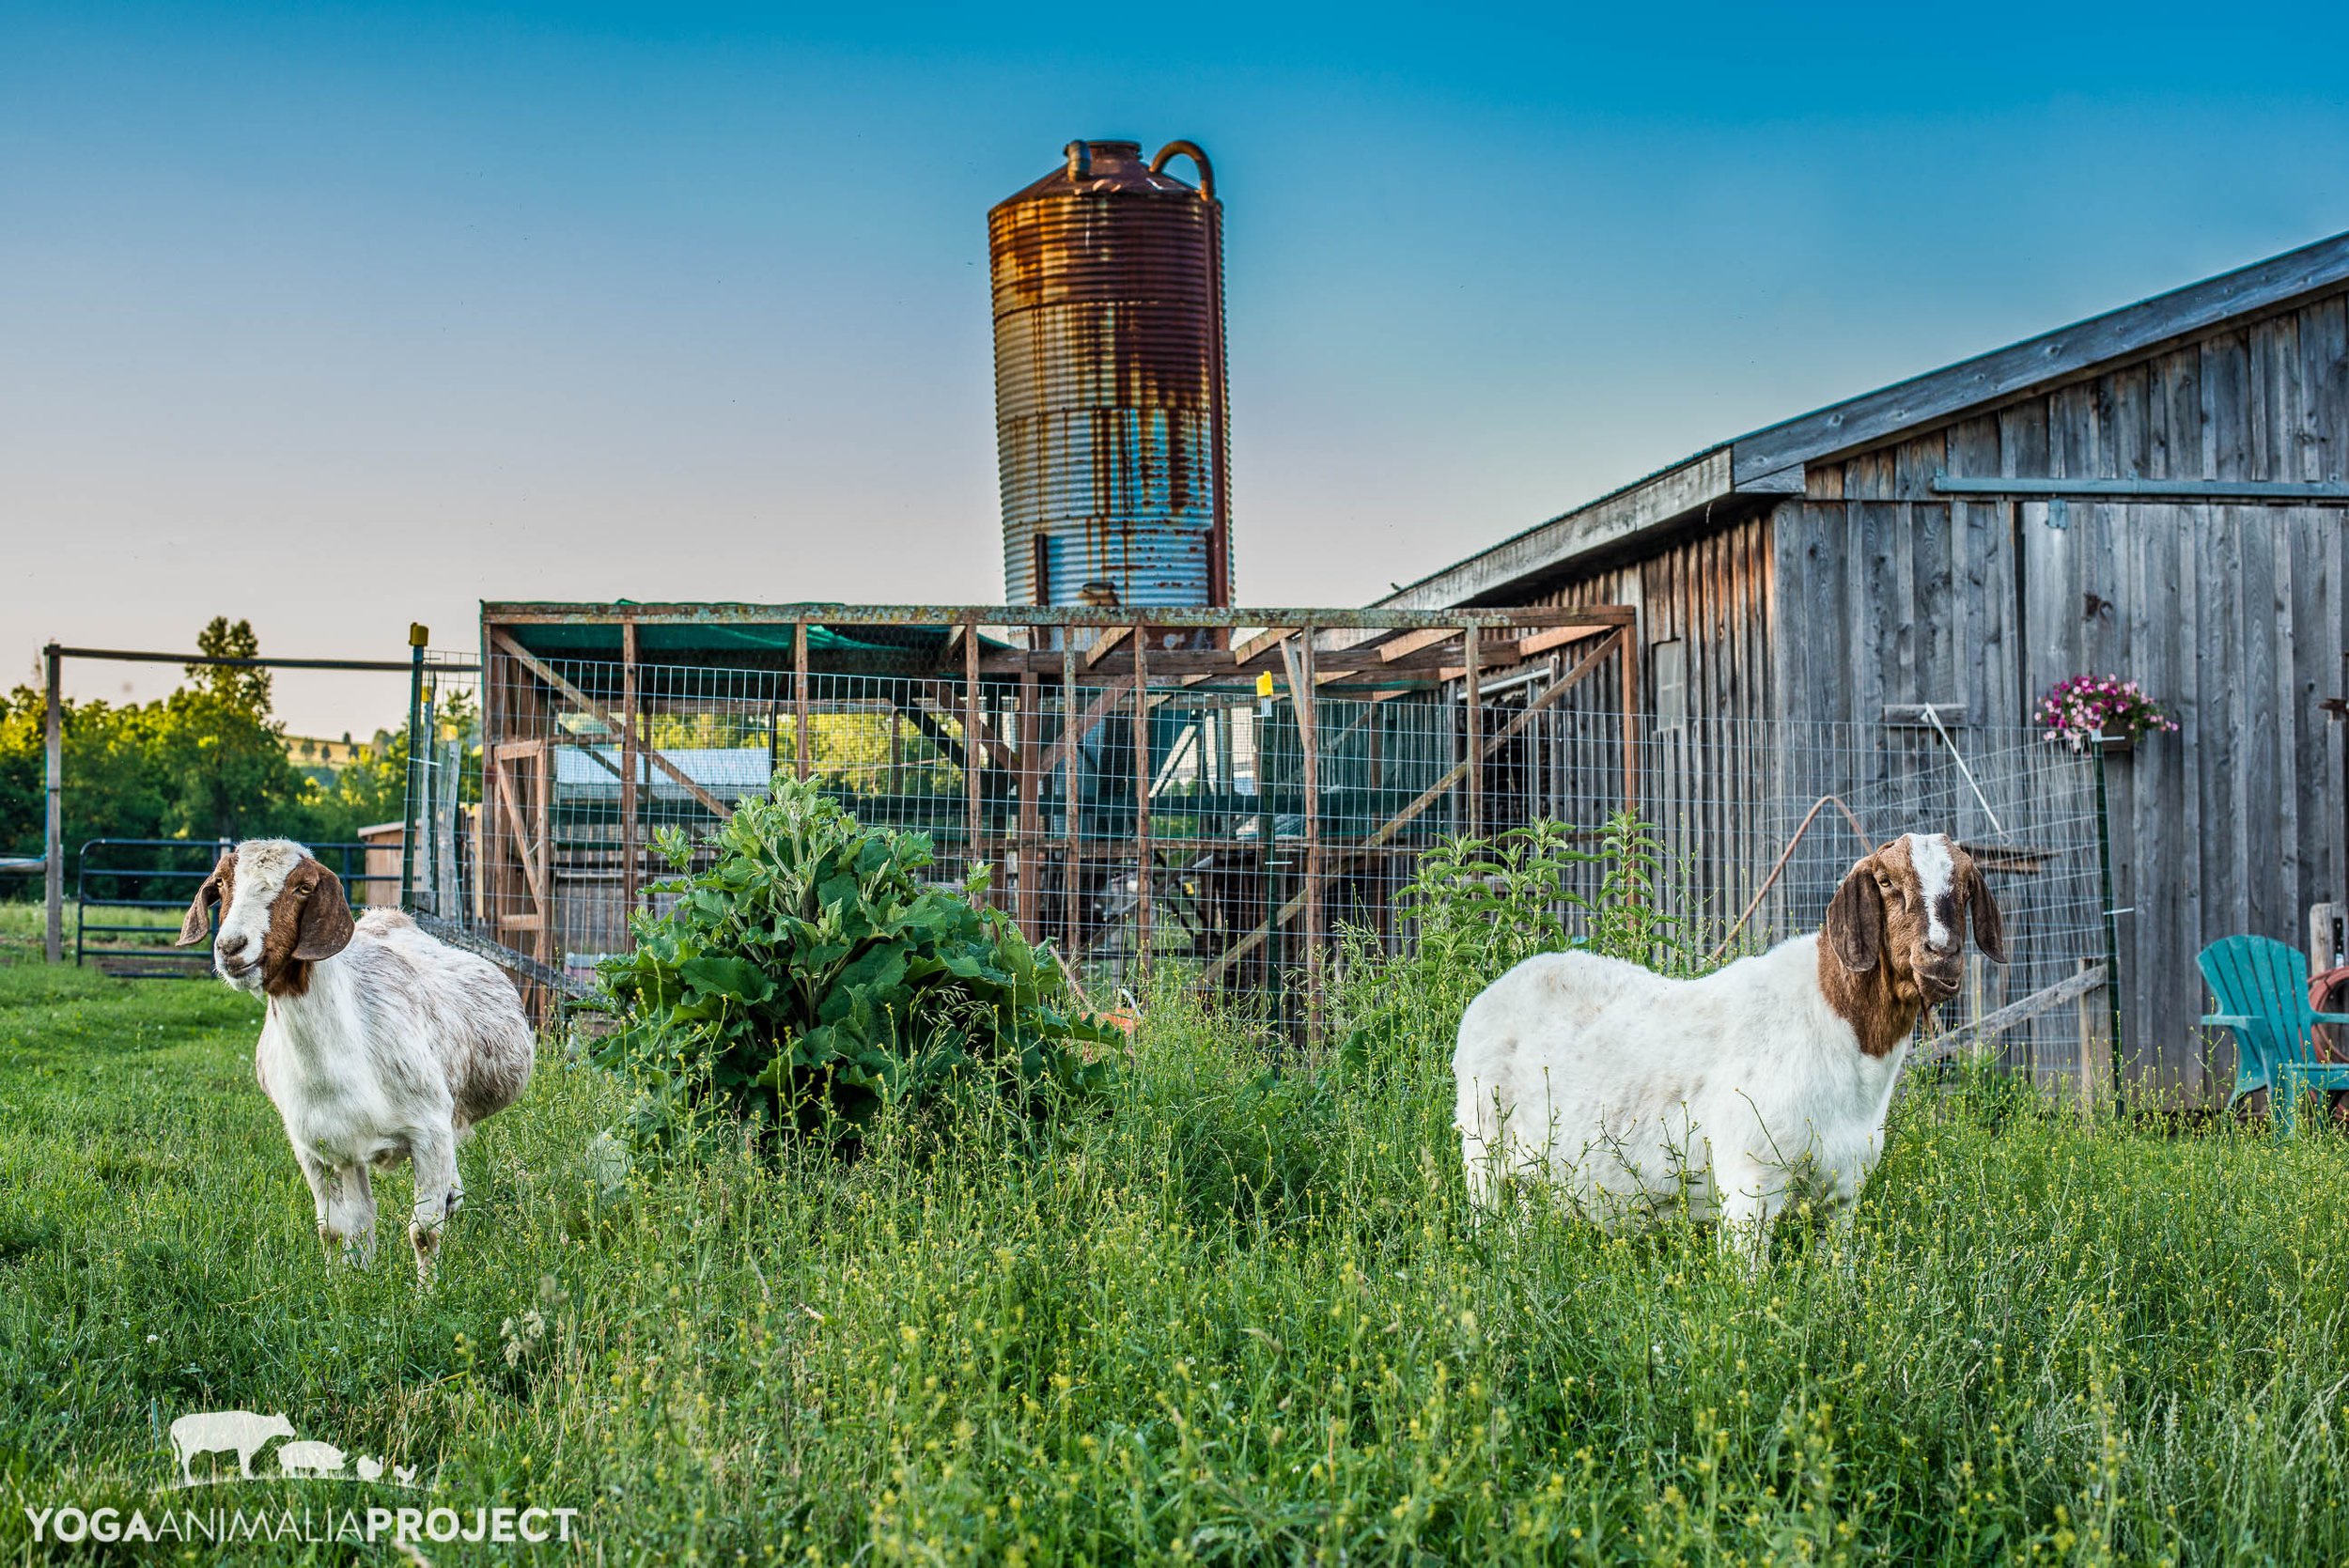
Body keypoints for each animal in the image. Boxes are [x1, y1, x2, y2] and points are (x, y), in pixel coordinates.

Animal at [179, 845, 537, 1277]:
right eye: (220, 883)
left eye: (303, 887)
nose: (231, 947)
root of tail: (390, 917)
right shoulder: (314, 1146)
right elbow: (335, 1229)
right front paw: (341, 1286)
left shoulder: (429, 1132)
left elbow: (424, 1232)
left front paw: (429, 1291)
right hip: (348, 1150)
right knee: (363, 1215)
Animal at [1456, 831, 2011, 1258]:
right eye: (1887, 881)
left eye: (1966, 887)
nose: (1941, 956)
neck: (1835, 1025)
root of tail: (1495, 991)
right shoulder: (1751, 1179)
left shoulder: (1843, 1193)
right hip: (1482, 1148)